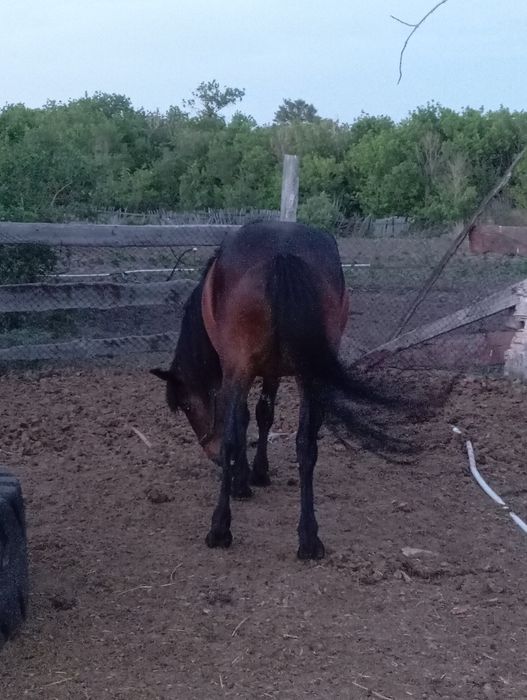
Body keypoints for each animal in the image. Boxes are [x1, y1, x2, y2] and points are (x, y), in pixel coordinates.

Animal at [152, 221, 407, 560]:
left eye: (187, 406)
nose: (211, 454)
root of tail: (282, 251)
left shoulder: (238, 373)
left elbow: (246, 420)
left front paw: (245, 479)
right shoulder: (271, 371)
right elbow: (265, 415)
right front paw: (259, 472)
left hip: (240, 368)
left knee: (233, 438)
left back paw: (220, 528)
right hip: (310, 374)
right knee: (306, 445)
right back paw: (309, 539)